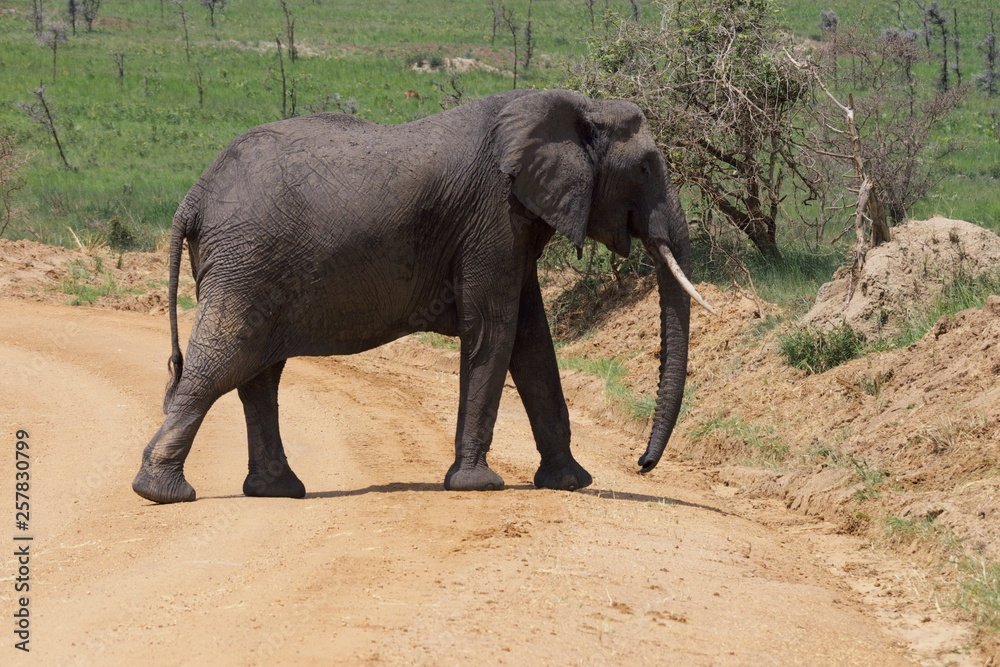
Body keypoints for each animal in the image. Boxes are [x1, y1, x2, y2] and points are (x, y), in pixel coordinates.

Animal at [131, 88, 714, 504]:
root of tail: (194, 196)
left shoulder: (514, 227)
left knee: (257, 375)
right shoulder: (493, 218)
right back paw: (163, 493)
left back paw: (277, 492)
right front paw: (478, 486)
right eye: (645, 167)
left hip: (252, 266)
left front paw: (571, 483)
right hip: (247, 262)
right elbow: (495, 332)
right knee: (223, 363)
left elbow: (531, 341)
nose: (643, 463)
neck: (577, 106)